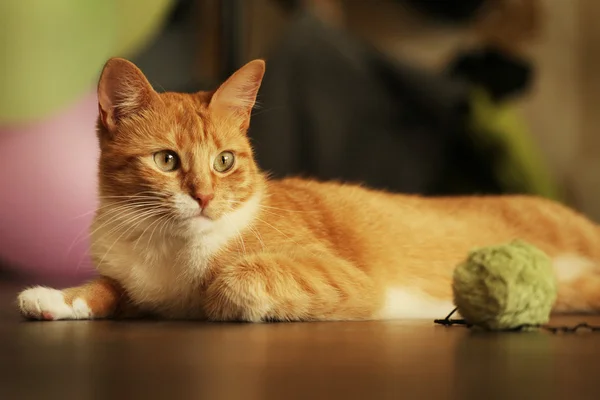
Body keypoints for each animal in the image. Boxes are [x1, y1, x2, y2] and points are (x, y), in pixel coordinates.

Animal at [16, 57, 600, 322]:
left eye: (225, 161)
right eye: (166, 160)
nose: (204, 197)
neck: (168, 248)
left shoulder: (349, 279)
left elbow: (232, 276)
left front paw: (215, 294)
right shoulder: (129, 278)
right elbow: (109, 288)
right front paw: (61, 299)